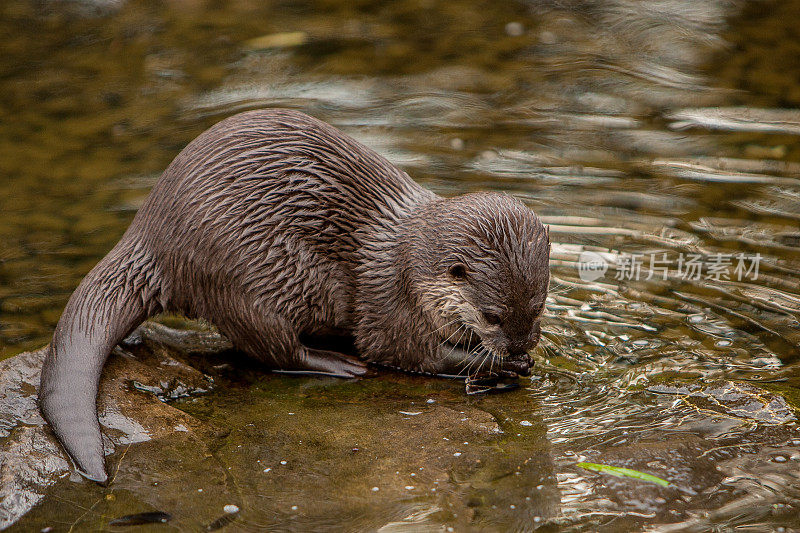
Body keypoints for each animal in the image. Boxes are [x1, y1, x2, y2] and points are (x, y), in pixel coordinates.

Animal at [37, 108, 552, 482]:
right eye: (492, 316)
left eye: (537, 306)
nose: (520, 344)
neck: (409, 263)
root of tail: (151, 234)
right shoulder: (390, 300)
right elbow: (407, 352)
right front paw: (498, 364)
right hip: (251, 278)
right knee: (273, 348)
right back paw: (337, 363)